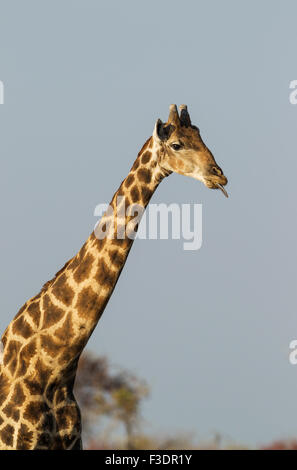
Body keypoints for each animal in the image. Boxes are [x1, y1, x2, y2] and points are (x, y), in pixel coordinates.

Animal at [0, 104, 227, 450]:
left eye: (202, 138)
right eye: (177, 144)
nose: (219, 174)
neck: (54, 367)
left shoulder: (73, 441)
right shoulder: (17, 442)